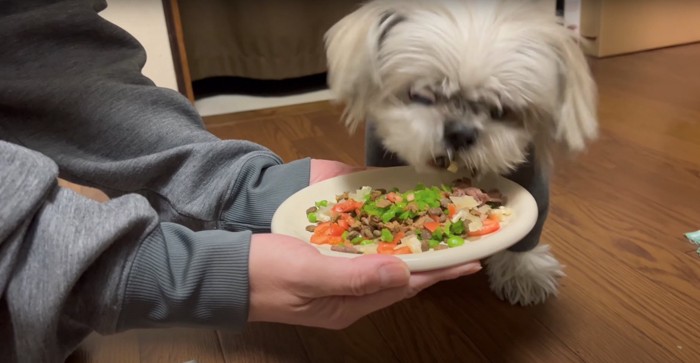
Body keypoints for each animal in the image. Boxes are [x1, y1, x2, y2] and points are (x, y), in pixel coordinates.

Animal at [326, 0, 600, 308]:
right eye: (420, 95)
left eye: (501, 110)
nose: (460, 133)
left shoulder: (532, 180)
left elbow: (530, 229)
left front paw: (523, 272)